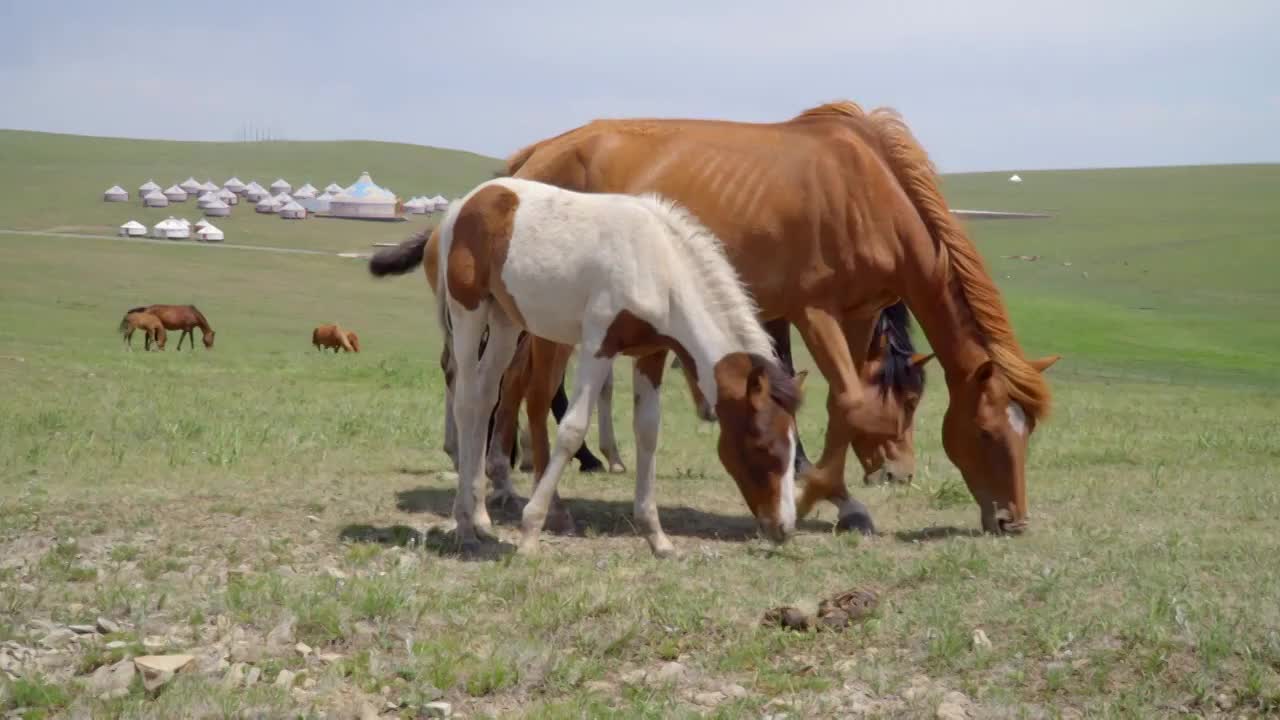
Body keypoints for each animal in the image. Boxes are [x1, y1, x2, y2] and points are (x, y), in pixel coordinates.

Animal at [435, 175, 803, 556]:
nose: (784, 528)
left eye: (794, 453)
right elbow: (572, 429)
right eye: (763, 448)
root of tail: (469, 200)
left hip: (505, 321)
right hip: (469, 311)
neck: (658, 266)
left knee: (485, 397)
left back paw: (480, 519)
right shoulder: (598, 345)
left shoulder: (651, 355)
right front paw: (530, 531)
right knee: (466, 401)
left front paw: (656, 536)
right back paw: (464, 525)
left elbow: (647, 430)